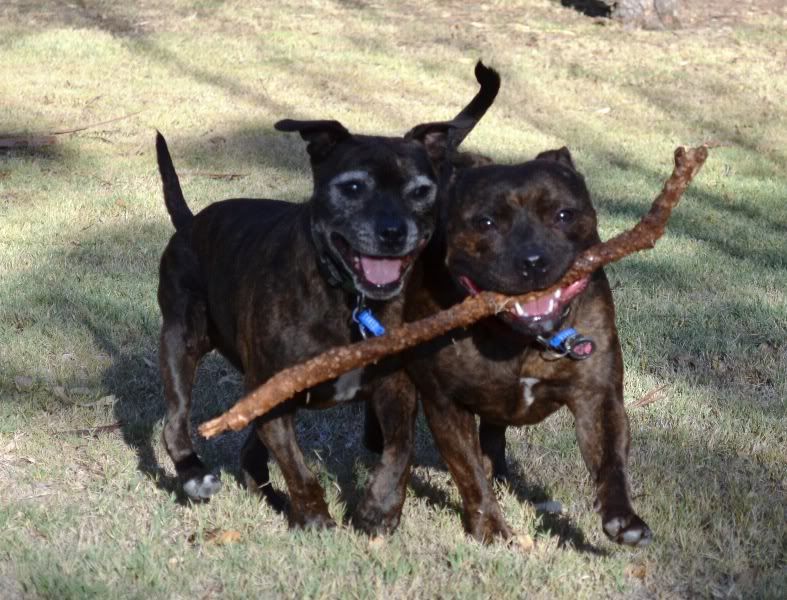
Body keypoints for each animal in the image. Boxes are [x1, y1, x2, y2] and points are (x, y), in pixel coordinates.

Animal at [154, 63, 498, 532]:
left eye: (420, 190)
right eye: (352, 188)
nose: (394, 232)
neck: (347, 299)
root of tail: (189, 223)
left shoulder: (394, 388)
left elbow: (400, 449)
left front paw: (379, 508)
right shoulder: (273, 394)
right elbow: (298, 467)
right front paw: (317, 518)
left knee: (249, 452)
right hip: (182, 340)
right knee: (176, 421)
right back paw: (195, 473)